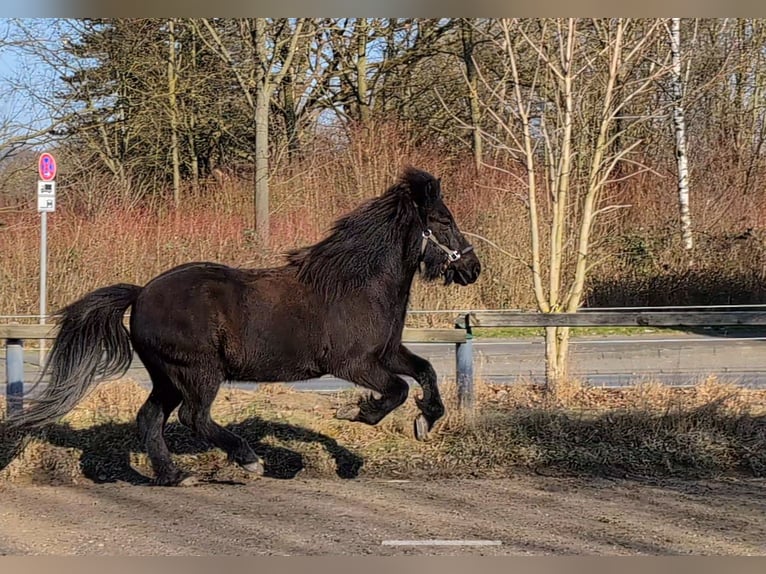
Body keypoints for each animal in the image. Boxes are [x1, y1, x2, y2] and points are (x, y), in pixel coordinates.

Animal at [7, 166, 480, 486]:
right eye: (442, 221)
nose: (472, 268)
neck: (359, 286)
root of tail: (141, 294)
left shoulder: (388, 353)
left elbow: (426, 372)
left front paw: (424, 422)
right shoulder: (356, 364)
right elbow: (397, 390)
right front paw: (355, 413)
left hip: (167, 376)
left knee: (151, 419)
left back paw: (175, 476)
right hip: (198, 372)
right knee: (194, 417)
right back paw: (248, 460)